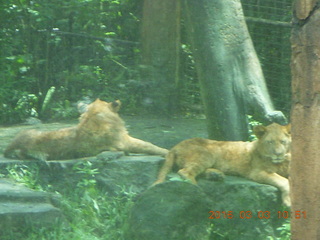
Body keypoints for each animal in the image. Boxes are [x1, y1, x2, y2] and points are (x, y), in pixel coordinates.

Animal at [154, 123, 292, 207]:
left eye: (283, 142)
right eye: (270, 142)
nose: (278, 154)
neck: (282, 161)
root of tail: (175, 146)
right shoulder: (257, 172)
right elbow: (284, 181)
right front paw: (289, 201)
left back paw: (215, 175)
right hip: (207, 154)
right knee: (185, 172)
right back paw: (196, 191)